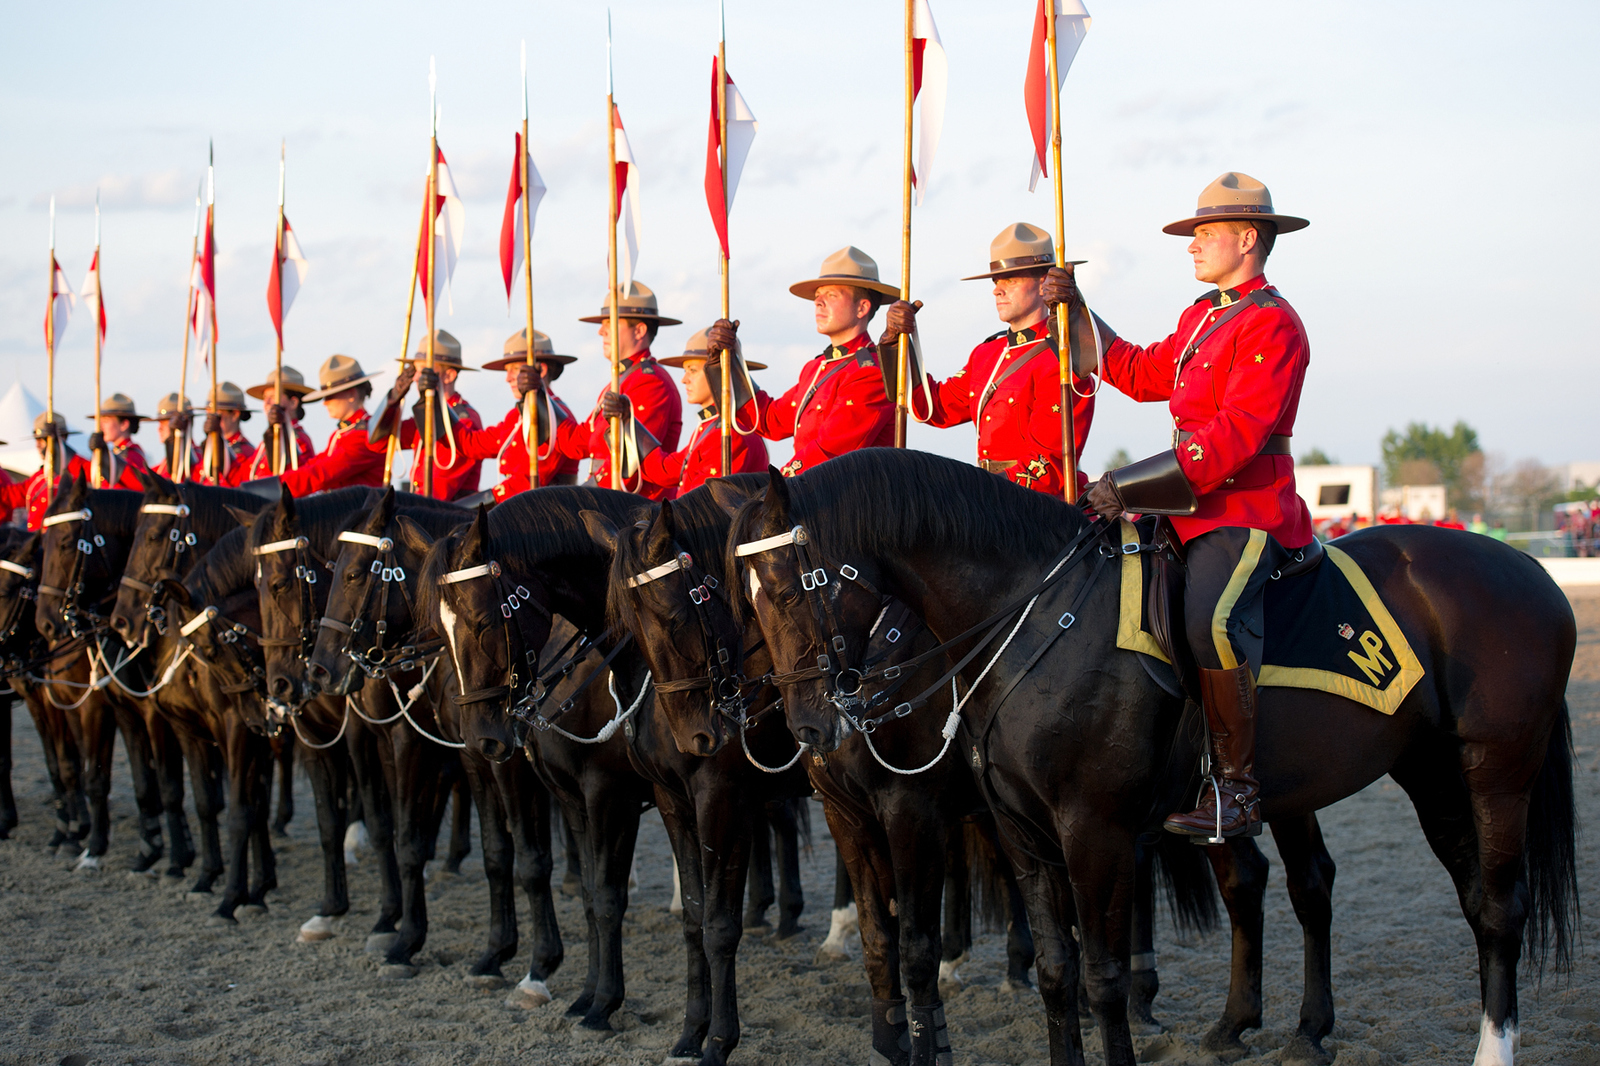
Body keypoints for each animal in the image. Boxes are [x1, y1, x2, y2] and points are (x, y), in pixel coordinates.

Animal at [729, 448, 1574, 1062]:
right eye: (747, 596)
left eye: (785, 589)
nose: (808, 728)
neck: (1034, 617)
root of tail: (1529, 570)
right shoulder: (1019, 832)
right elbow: (1056, 971)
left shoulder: (1089, 830)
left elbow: (1102, 977)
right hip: (1422, 774)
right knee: (1370, 890)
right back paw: (1291, 1030)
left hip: (1494, 774)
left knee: (1499, 907)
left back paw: (1488, 1050)